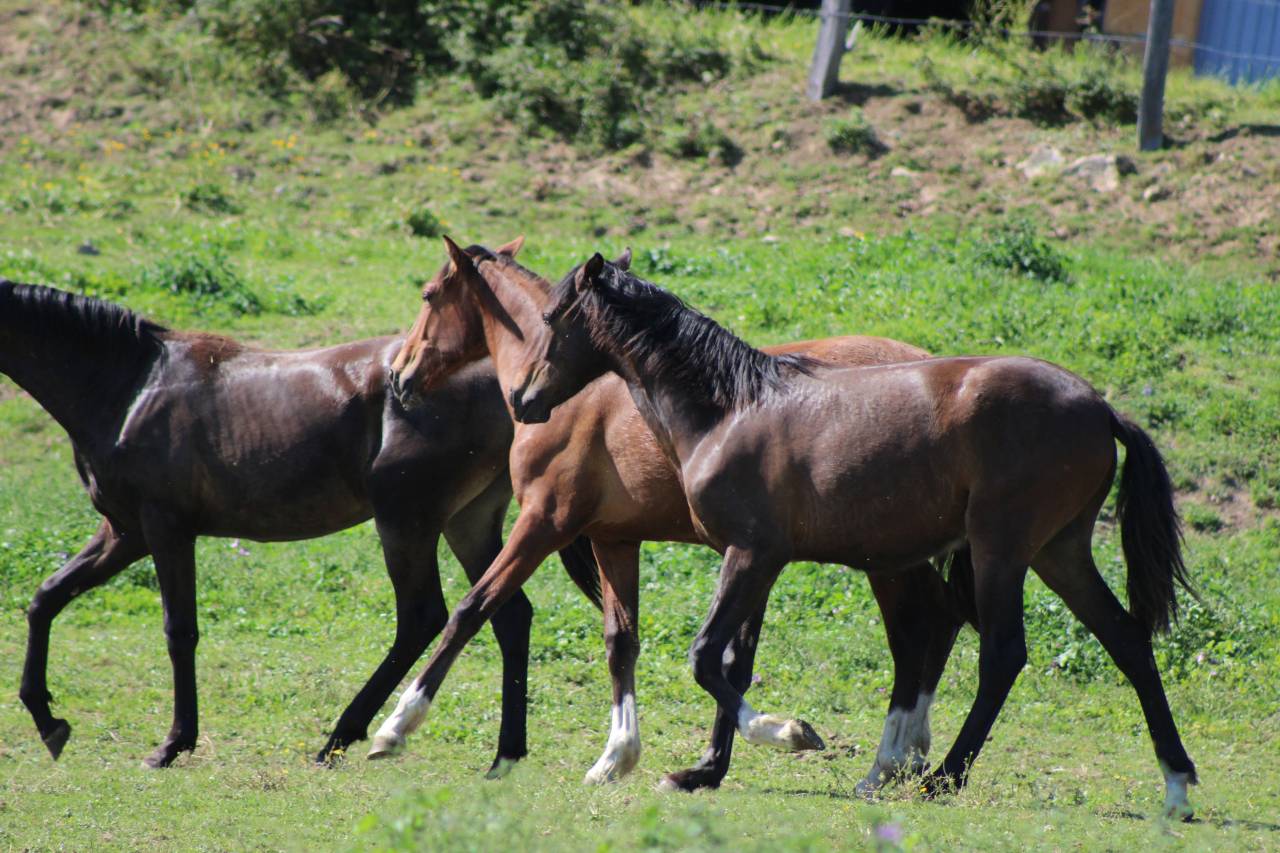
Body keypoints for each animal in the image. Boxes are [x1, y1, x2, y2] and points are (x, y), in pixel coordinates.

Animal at [0, 278, 600, 773]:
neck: (129, 386)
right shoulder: (124, 531)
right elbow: (46, 597)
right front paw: (49, 722)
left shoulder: (165, 527)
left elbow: (179, 631)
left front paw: (172, 744)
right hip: (466, 524)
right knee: (506, 615)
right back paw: (505, 754)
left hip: (405, 520)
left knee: (423, 616)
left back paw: (344, 736)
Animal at [378, 236, 972, 792]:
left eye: (429, 296)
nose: (398, 376)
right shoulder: (614, 539)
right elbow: (622, 641)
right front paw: (617, 755)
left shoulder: (546, 523)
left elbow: (471, 610)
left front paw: (396, 726)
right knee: (937, 621)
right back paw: (909, 755)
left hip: (885, 558)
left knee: (917, 631)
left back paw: (901, 759)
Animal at [505, 252, 1200, 818]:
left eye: (552, 315)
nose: (522, 400)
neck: (729, 410)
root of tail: (1102, 408)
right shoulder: (753, 561)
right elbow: (729, 661)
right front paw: (705, 768)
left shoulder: (753, 554)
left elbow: (706, 657)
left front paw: (788, 734)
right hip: (1059, 552)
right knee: (1126, 640)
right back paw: (1176, 786)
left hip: (1000, 550)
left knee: (1002, 654)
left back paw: (939, 777)